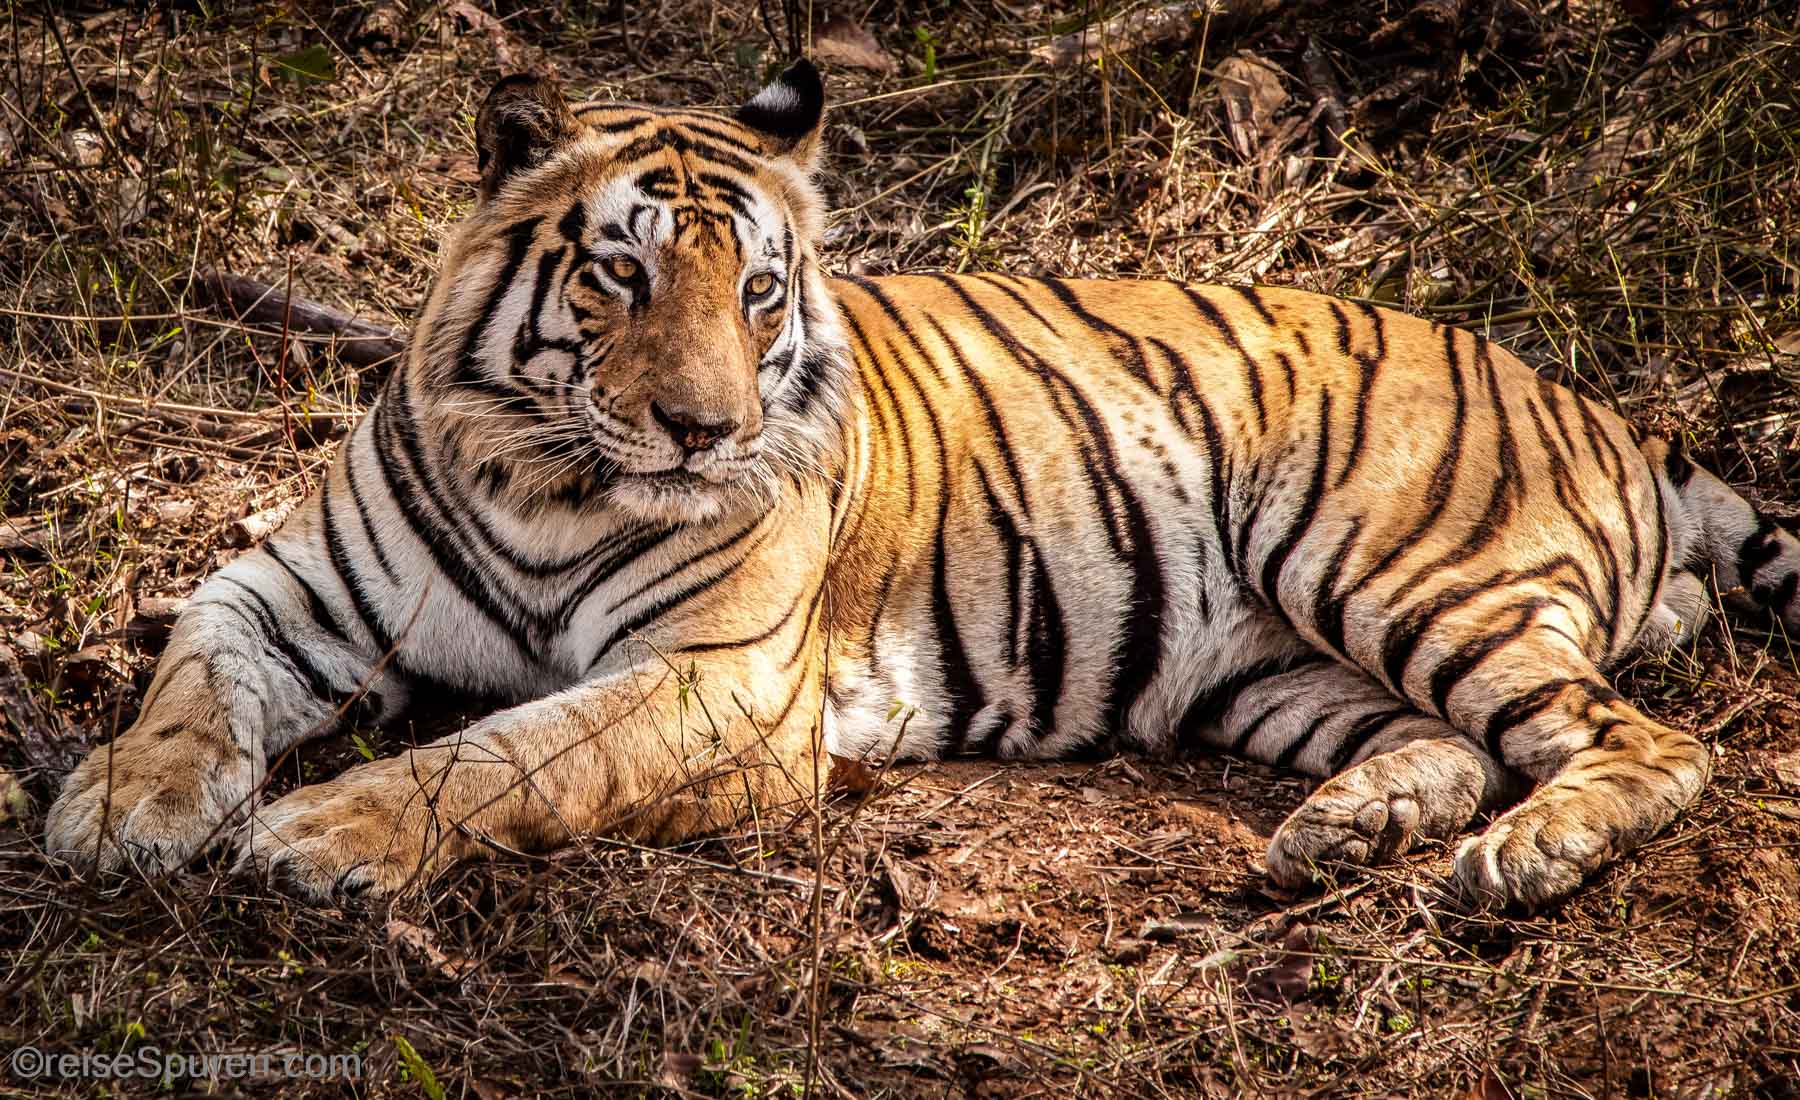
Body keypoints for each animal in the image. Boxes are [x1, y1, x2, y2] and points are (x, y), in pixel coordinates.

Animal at [44, 60, 1800, 910]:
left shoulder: (719, 682)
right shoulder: (284, 587)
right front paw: (118, 808)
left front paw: (321, 833)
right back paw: (1347, 831)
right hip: (1275, 668)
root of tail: (1609, 411)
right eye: (621, 274)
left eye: (759, 293)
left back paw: (1521, 861)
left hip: (1388, 558)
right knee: (1447, 742)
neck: (546, 476)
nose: (702, 430)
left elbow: (498, 756)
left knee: (1646, 743)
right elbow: (190, 678)